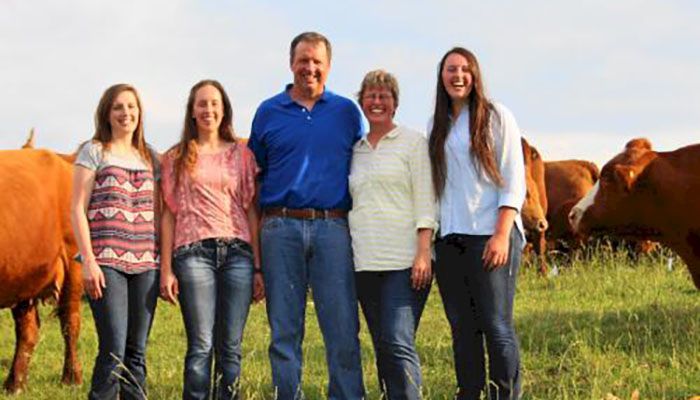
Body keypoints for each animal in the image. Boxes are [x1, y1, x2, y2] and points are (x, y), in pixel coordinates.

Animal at [0, 148, 82, 392]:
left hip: (74, 264)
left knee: (70, 322)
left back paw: (71, 378)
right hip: (22, 276)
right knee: (28, 331)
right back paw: (15, 384)